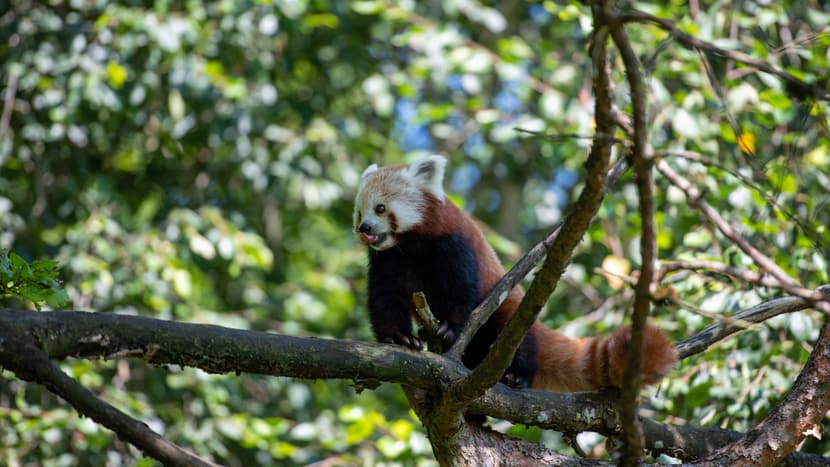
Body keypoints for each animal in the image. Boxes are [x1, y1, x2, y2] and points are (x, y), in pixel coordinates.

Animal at [354, 155, 680, 394]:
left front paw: (449, 328)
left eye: (380, 208)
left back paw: (516, 374)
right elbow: (386, 296)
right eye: (359, 212)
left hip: (510, 318)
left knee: (514, 338)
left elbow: (461, 291)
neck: (411, 244)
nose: (364, 229)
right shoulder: (391, 259)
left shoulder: (453, 244)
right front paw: (400, 338)